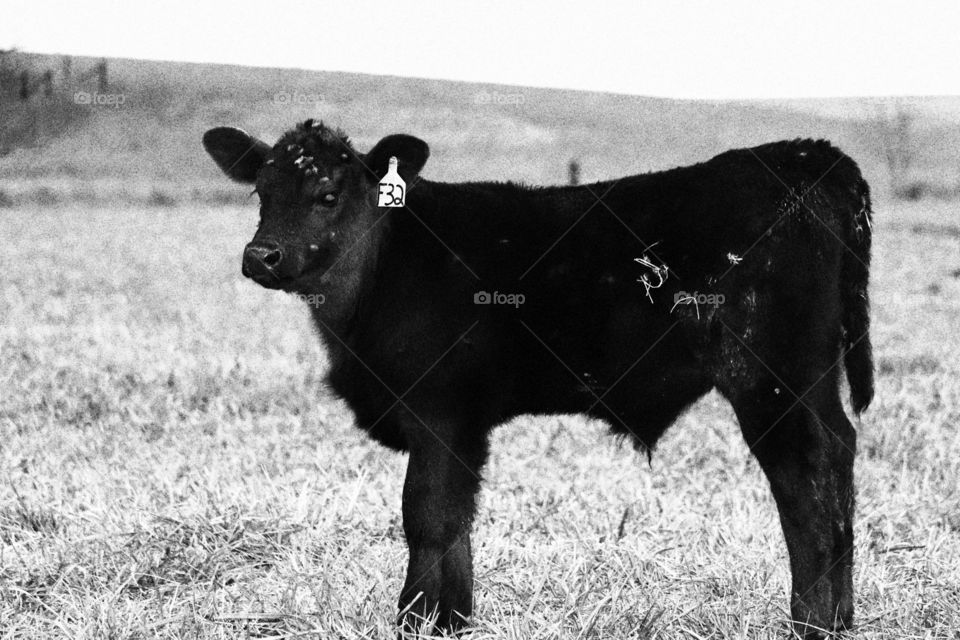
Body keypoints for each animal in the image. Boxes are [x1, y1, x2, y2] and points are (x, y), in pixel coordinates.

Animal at [203, 120, 873, 639]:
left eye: (327, 193)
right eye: (261, 190)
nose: (261, 256)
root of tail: (811, 156)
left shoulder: (439, 411)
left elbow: (427, 516)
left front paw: (414, 621)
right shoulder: (463, 425)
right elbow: (458, 520)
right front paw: (453, 620)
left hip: (771, 378)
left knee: (805, 479)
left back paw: (811, 623)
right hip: (812, 379)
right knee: (838, 458)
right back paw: (841, 618)